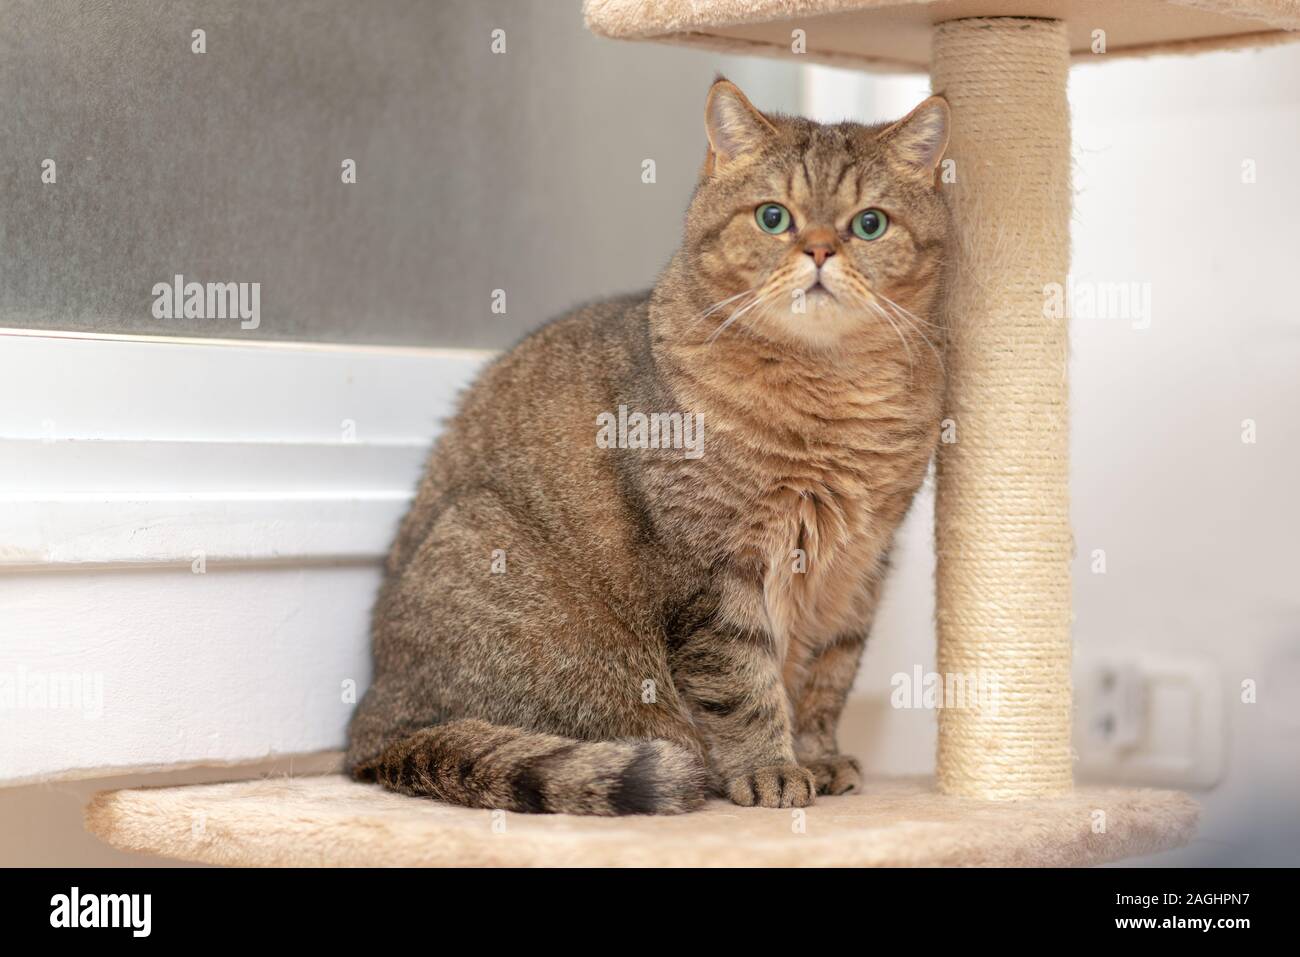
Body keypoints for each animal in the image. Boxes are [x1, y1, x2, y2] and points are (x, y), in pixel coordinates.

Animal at [346, 78, 950, 815]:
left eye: (869, 224)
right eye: (774, 217)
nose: (819, 251)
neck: (829, 398)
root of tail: (374, 724)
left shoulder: (857, 566)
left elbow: (826, 675)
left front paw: (817, 755)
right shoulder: (714, 568)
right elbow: (744, 685)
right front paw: (770, 769)